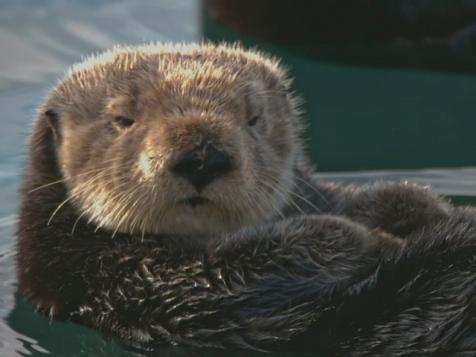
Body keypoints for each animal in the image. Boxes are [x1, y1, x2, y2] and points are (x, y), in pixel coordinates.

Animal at [16, 43, 476, 354]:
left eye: (254, 118)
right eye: (123, 119)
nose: (202, 156)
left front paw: (421, 210)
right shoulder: (133, 286)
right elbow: (250, 267)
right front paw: (375, 240)